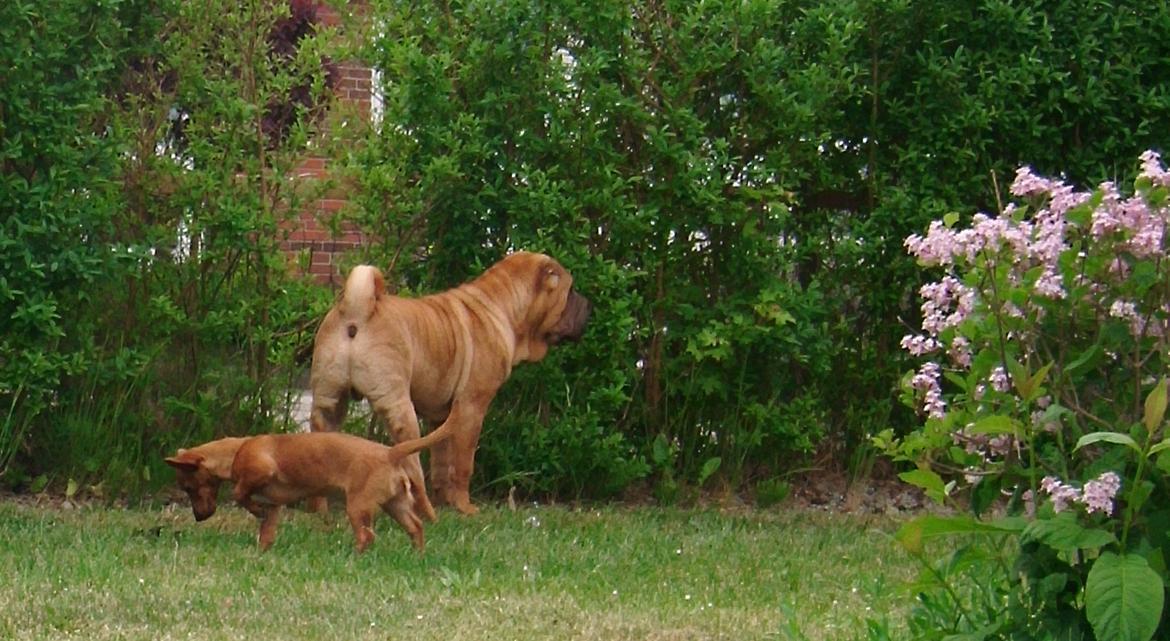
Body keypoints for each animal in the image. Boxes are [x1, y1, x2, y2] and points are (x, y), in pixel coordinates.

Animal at [308, 250, 589, 514]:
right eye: (570, 291)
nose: (589, 305)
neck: (503, 307)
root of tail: (357, 309)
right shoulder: (472, 408)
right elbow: (464, 463)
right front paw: (465, 508)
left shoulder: (440, 415)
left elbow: (442, 461)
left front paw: (446, 500)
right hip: (400, 409)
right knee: (411, 463)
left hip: (329, 402)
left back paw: (320, 508)